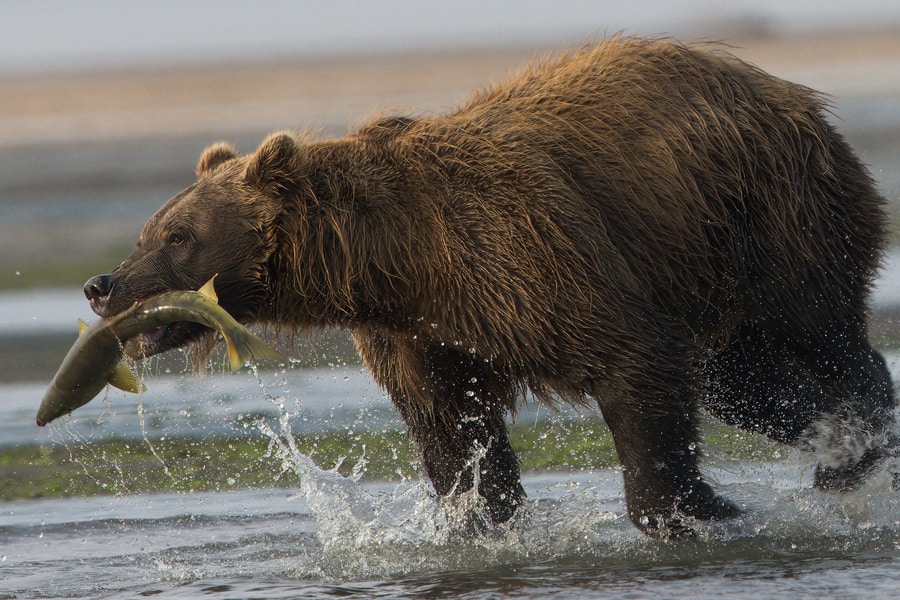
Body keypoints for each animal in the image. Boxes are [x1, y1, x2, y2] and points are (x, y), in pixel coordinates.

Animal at [82, 37, 892, 536]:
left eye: (177, 235)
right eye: (148, 230)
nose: (102, 284)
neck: (400, 262)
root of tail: (787, 90)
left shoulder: (528, 260)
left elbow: (631, 363)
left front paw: (694, 509)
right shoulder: (423, 333)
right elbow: (453, 431)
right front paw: (477, 517)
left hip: (770, 220)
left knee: (821, 331)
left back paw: (854, 443)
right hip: (706, 273)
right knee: (741, 380)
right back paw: (831, 440)